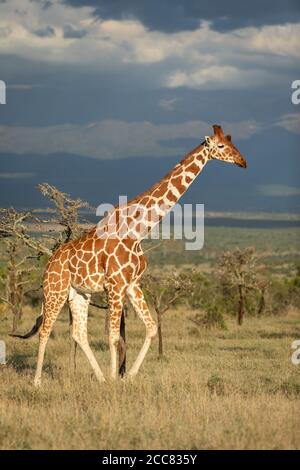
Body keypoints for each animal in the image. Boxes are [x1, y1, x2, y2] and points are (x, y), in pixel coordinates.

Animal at [11, 125, 246, 386]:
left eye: (233, 142)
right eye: (222, 146)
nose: (243, 162)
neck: (138, 230)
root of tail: (49, 263)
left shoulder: (132, 283)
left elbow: (151, 327)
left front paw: (127, 376)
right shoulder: (116, 284)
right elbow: (114, 336)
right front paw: (115, 377)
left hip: (79, 293)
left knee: (78, 333)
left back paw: (100, 378)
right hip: (55, 290)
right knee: (45, 330)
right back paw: (38, 382)